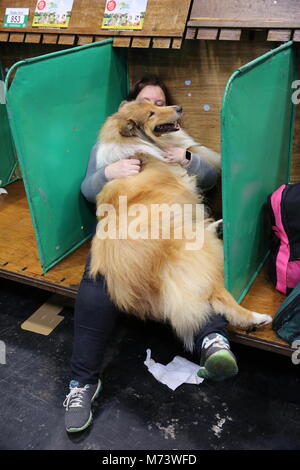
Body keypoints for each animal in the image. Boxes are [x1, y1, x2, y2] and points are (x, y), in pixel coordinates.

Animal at [89, 101, 272, 348]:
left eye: (154, 104)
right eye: (151, 113)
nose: (178, 107)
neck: (141, 149)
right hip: (201, 254)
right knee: (219, 296)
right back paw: (257, 318)